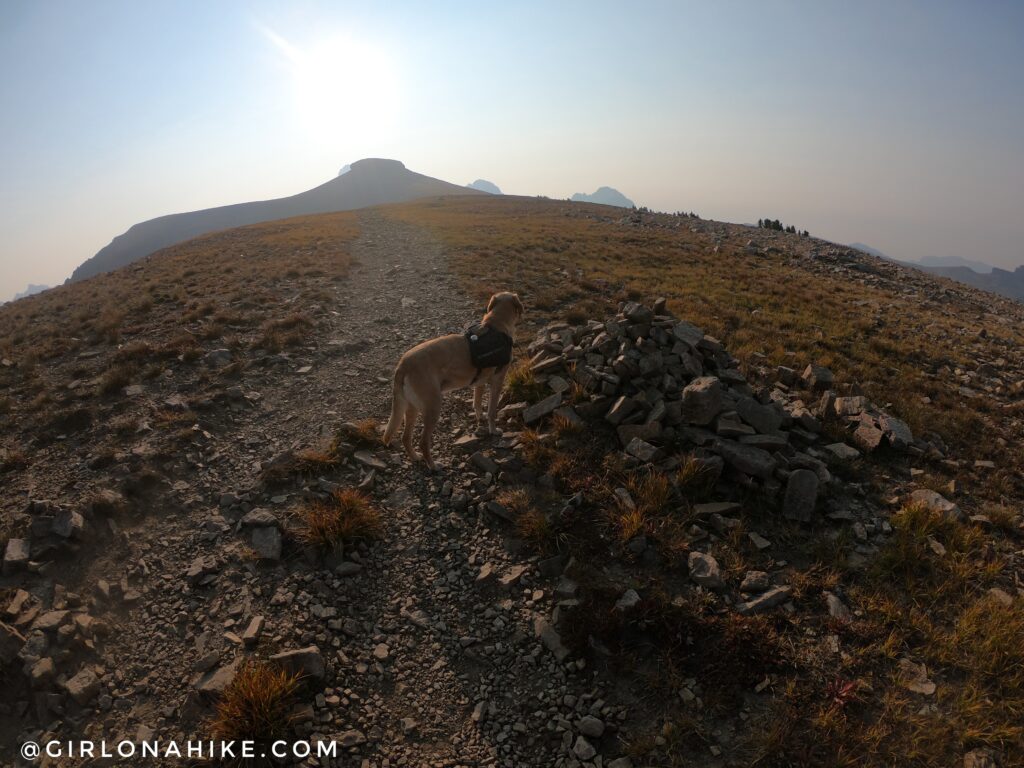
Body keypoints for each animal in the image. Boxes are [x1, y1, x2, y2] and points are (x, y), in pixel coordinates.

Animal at [385, 292, 528, 468]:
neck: (496, 324)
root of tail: (403, 364)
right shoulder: (497, 381)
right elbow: (492, 411)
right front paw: (494, 430)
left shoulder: (480, 383)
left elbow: (477, 403)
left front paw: (480, 418)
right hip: (433, 406)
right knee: (423, 442)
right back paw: (433, 466)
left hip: (412, 407)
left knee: (406, 437)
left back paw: (415, 457)